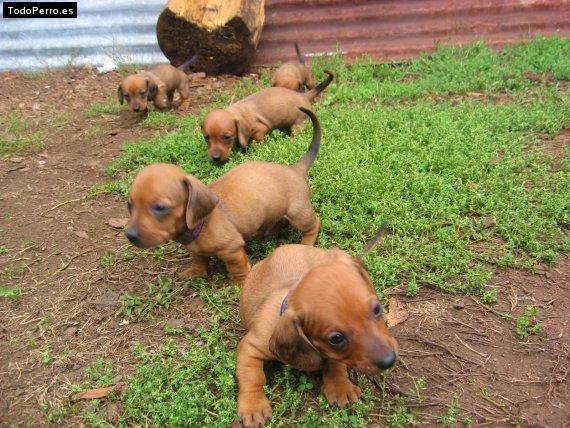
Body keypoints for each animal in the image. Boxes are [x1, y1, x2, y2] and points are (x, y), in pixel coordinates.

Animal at [123, 107, 322, 282]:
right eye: (129, 205)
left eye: (160, 208)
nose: (129, 235)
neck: (201, 224)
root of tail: (295, 169)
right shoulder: (196, 249)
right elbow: (198, 258)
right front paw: (196, 272)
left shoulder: (232, 249)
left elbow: (237, 268)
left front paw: (240, 284)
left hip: (298, 213)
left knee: (313, 225)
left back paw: (306, 243)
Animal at [201, 71, 330, 163]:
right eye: (206, 138)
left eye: (226, 137)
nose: (215, 158)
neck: (236, 112)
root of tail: (304, 96)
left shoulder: (260, 130)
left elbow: (256, 142)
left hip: (298, 125)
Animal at [234, 226, 394, 426]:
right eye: (336, 339)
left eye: (377, 308)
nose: (390, 360)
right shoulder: (250, 348)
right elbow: (252, 376)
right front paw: (253, 406)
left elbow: (335, 362)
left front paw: (340, 386)